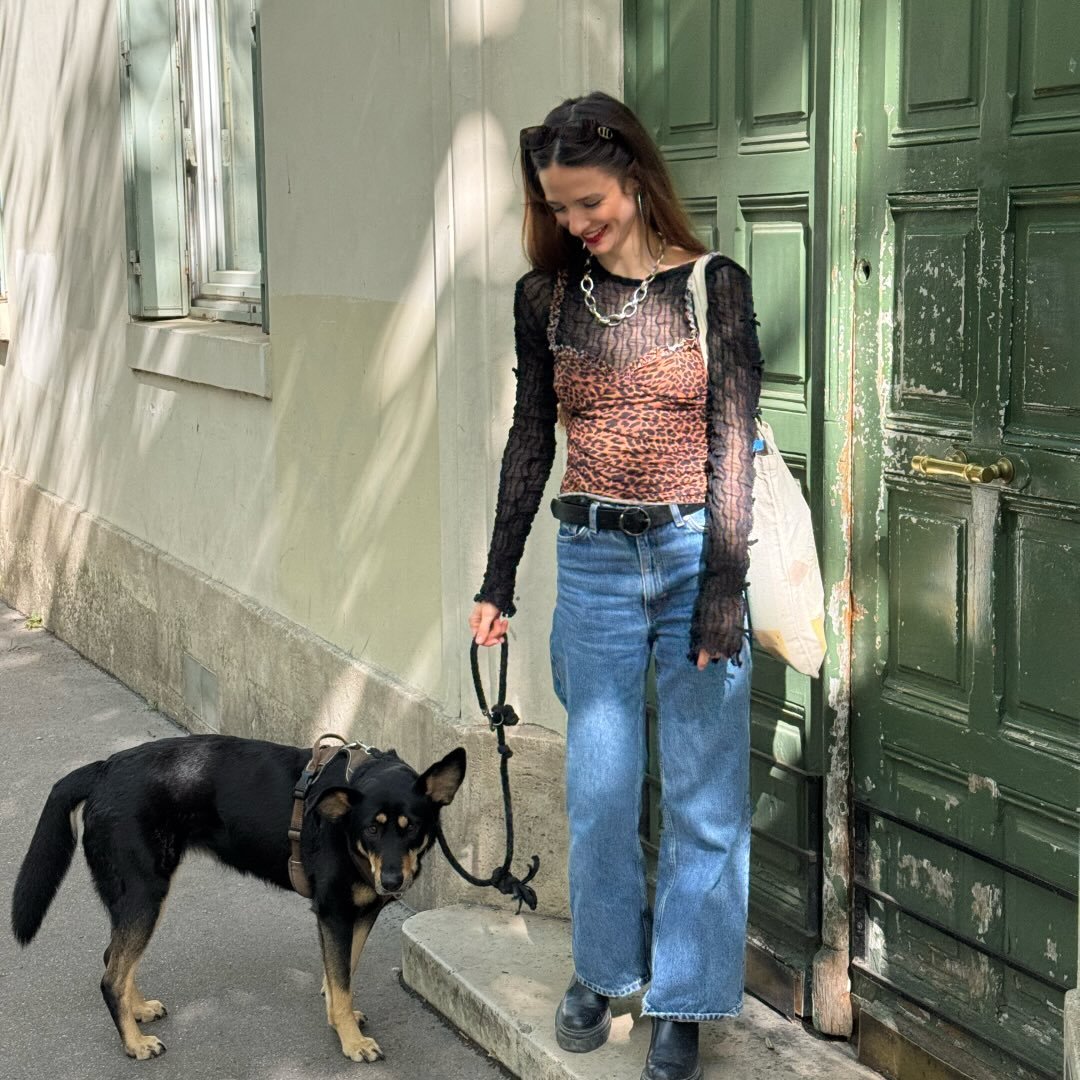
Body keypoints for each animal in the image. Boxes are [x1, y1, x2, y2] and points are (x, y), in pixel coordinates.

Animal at [10, 733, 466, 1062]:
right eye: (372, 828)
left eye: (412, 827)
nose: (391, 881)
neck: (343, 820)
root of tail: (104, 768)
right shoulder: (334, 912)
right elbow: (341, 980)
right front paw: (351, 1041)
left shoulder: (358, 914)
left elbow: (342, 975)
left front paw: (342, 1021)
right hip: (145, 894)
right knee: (110, 977)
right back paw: (135, 1043)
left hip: (133, 897)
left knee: (114, 961)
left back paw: (138, 1010)